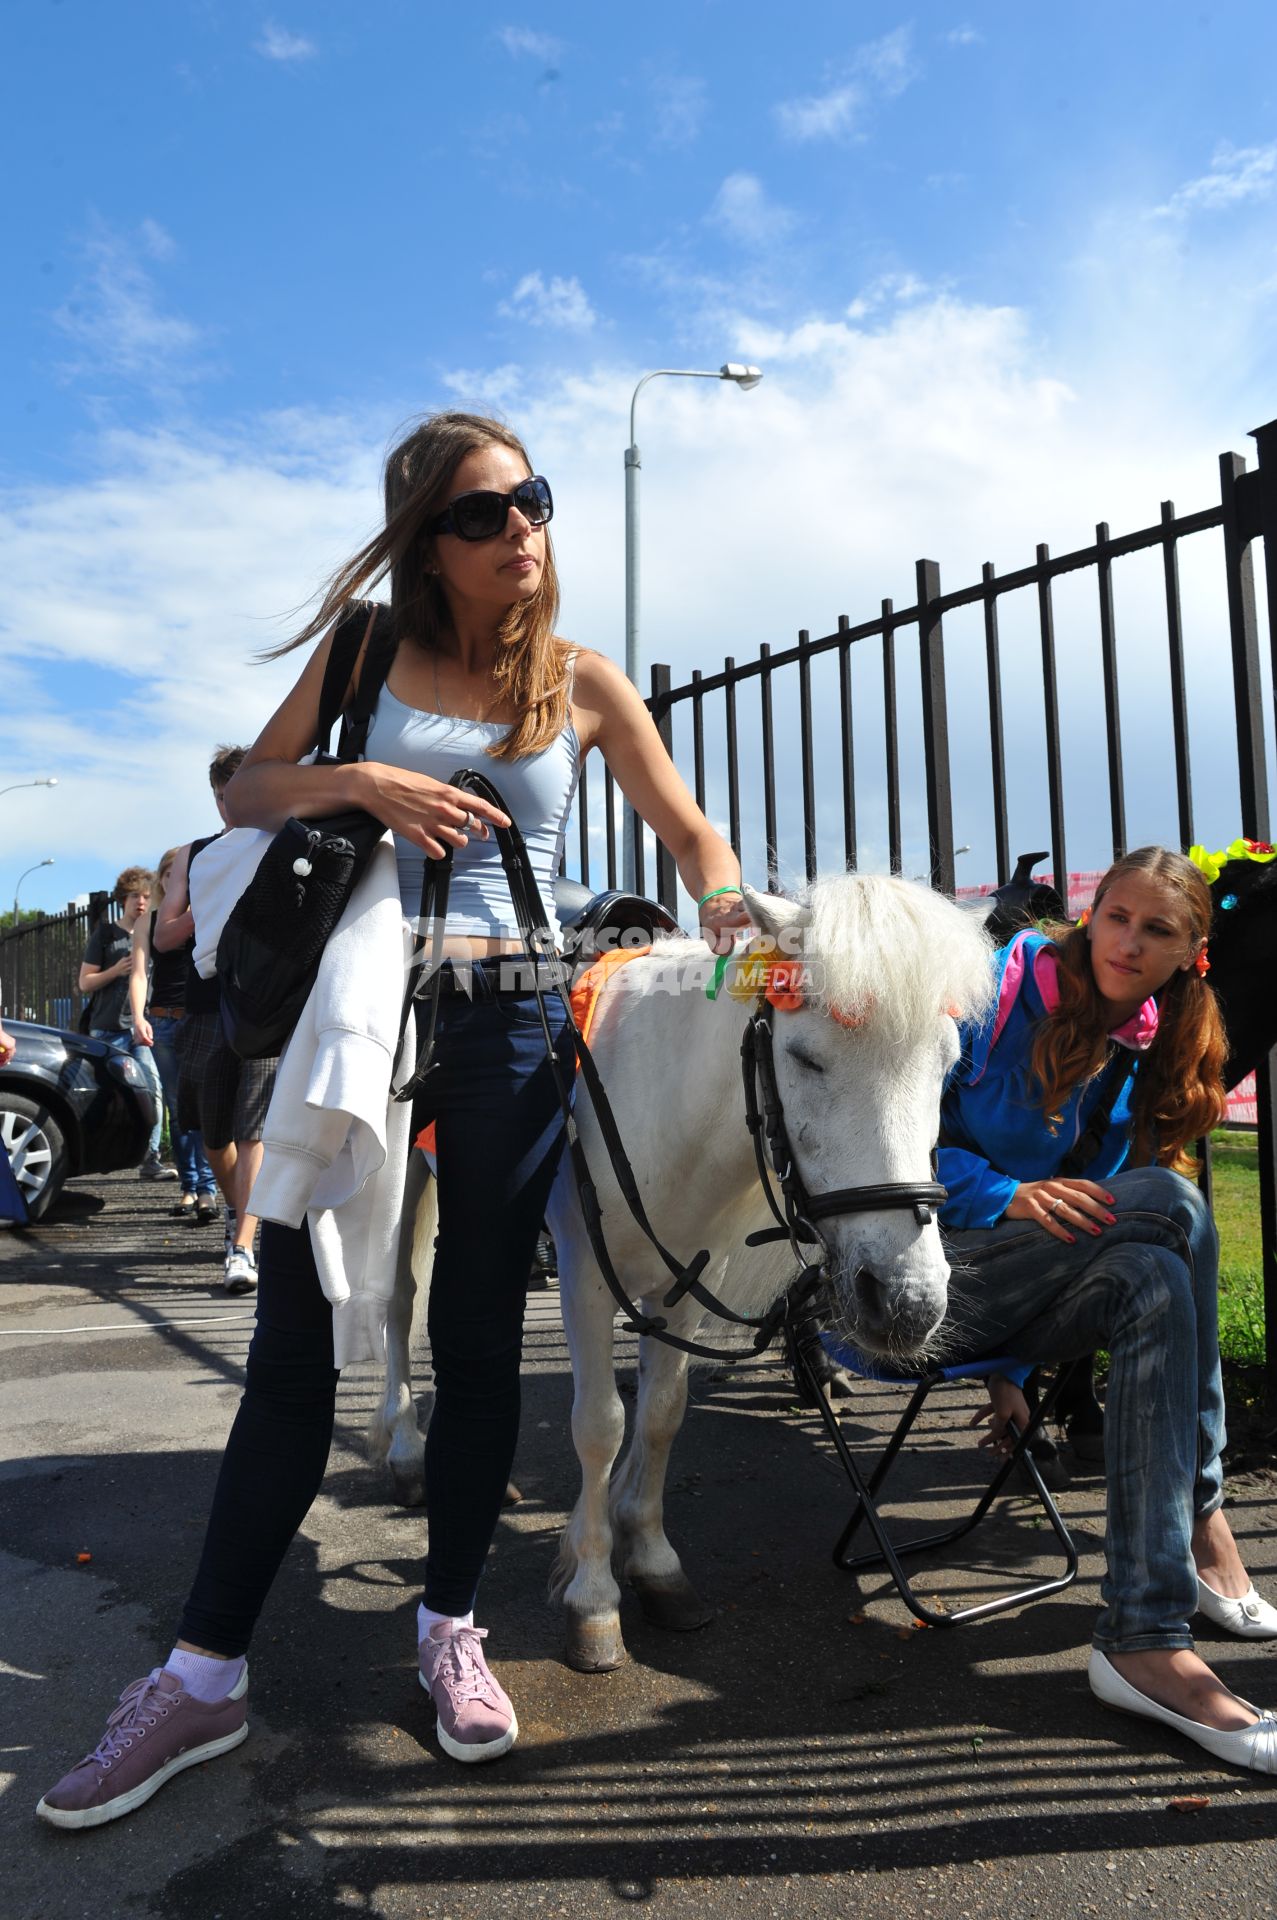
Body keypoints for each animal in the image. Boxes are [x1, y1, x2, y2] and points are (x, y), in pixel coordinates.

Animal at [366, 879, 983, 1674]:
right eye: (807, 1058)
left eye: (946, 1064)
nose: (905, 1300)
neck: (662, 1106)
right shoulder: (584, 1280)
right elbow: (599, 1424)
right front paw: (593, 1594)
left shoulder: (685, 1282)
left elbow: (661, 1415)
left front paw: (650, 1558)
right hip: (408, 1179)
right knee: (400, 1303)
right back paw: (408, 1452)